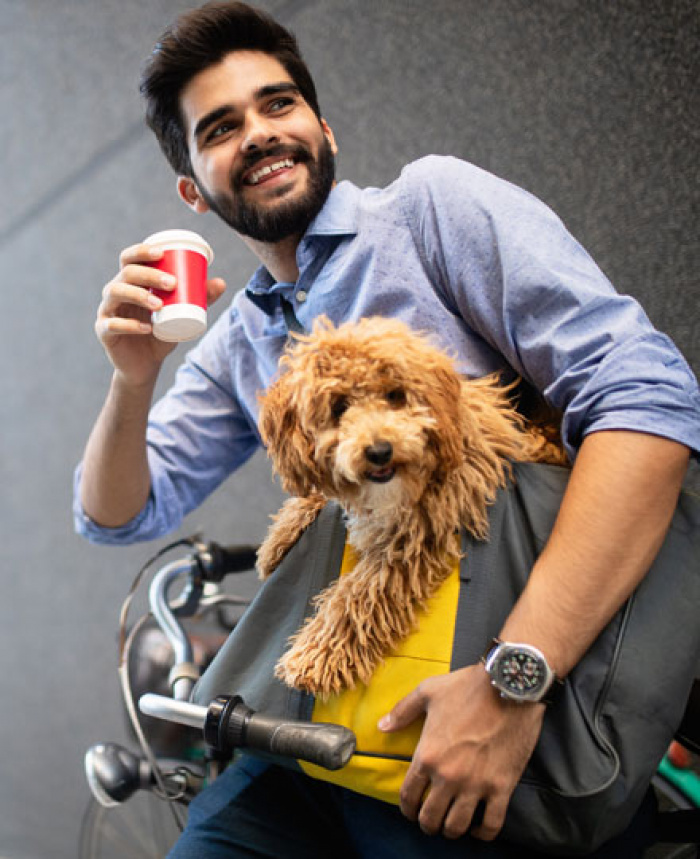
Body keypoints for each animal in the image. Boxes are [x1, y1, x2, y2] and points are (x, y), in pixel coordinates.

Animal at [258, 316, 568, 700]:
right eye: (339, 407)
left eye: (394, 395)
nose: (379, 451)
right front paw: (277, 541)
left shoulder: (422, 531)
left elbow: (361, 592)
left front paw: (315, 656)